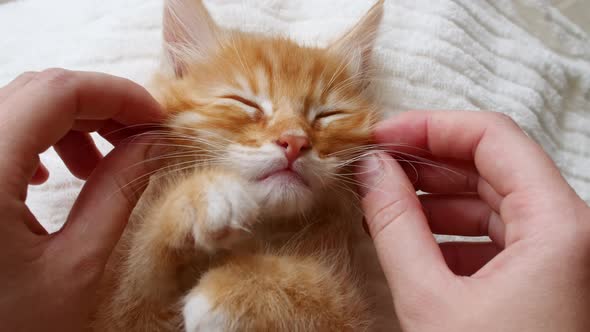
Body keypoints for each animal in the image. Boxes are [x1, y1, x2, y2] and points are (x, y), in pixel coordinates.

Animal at [92, 1, 400, 330]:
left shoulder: (348, 305)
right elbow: (135, 278)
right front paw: (198, 199)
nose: (295, 141)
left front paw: (236, 291)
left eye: (327, 115)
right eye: (245, 103)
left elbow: (321, 296)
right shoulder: (113, 315)